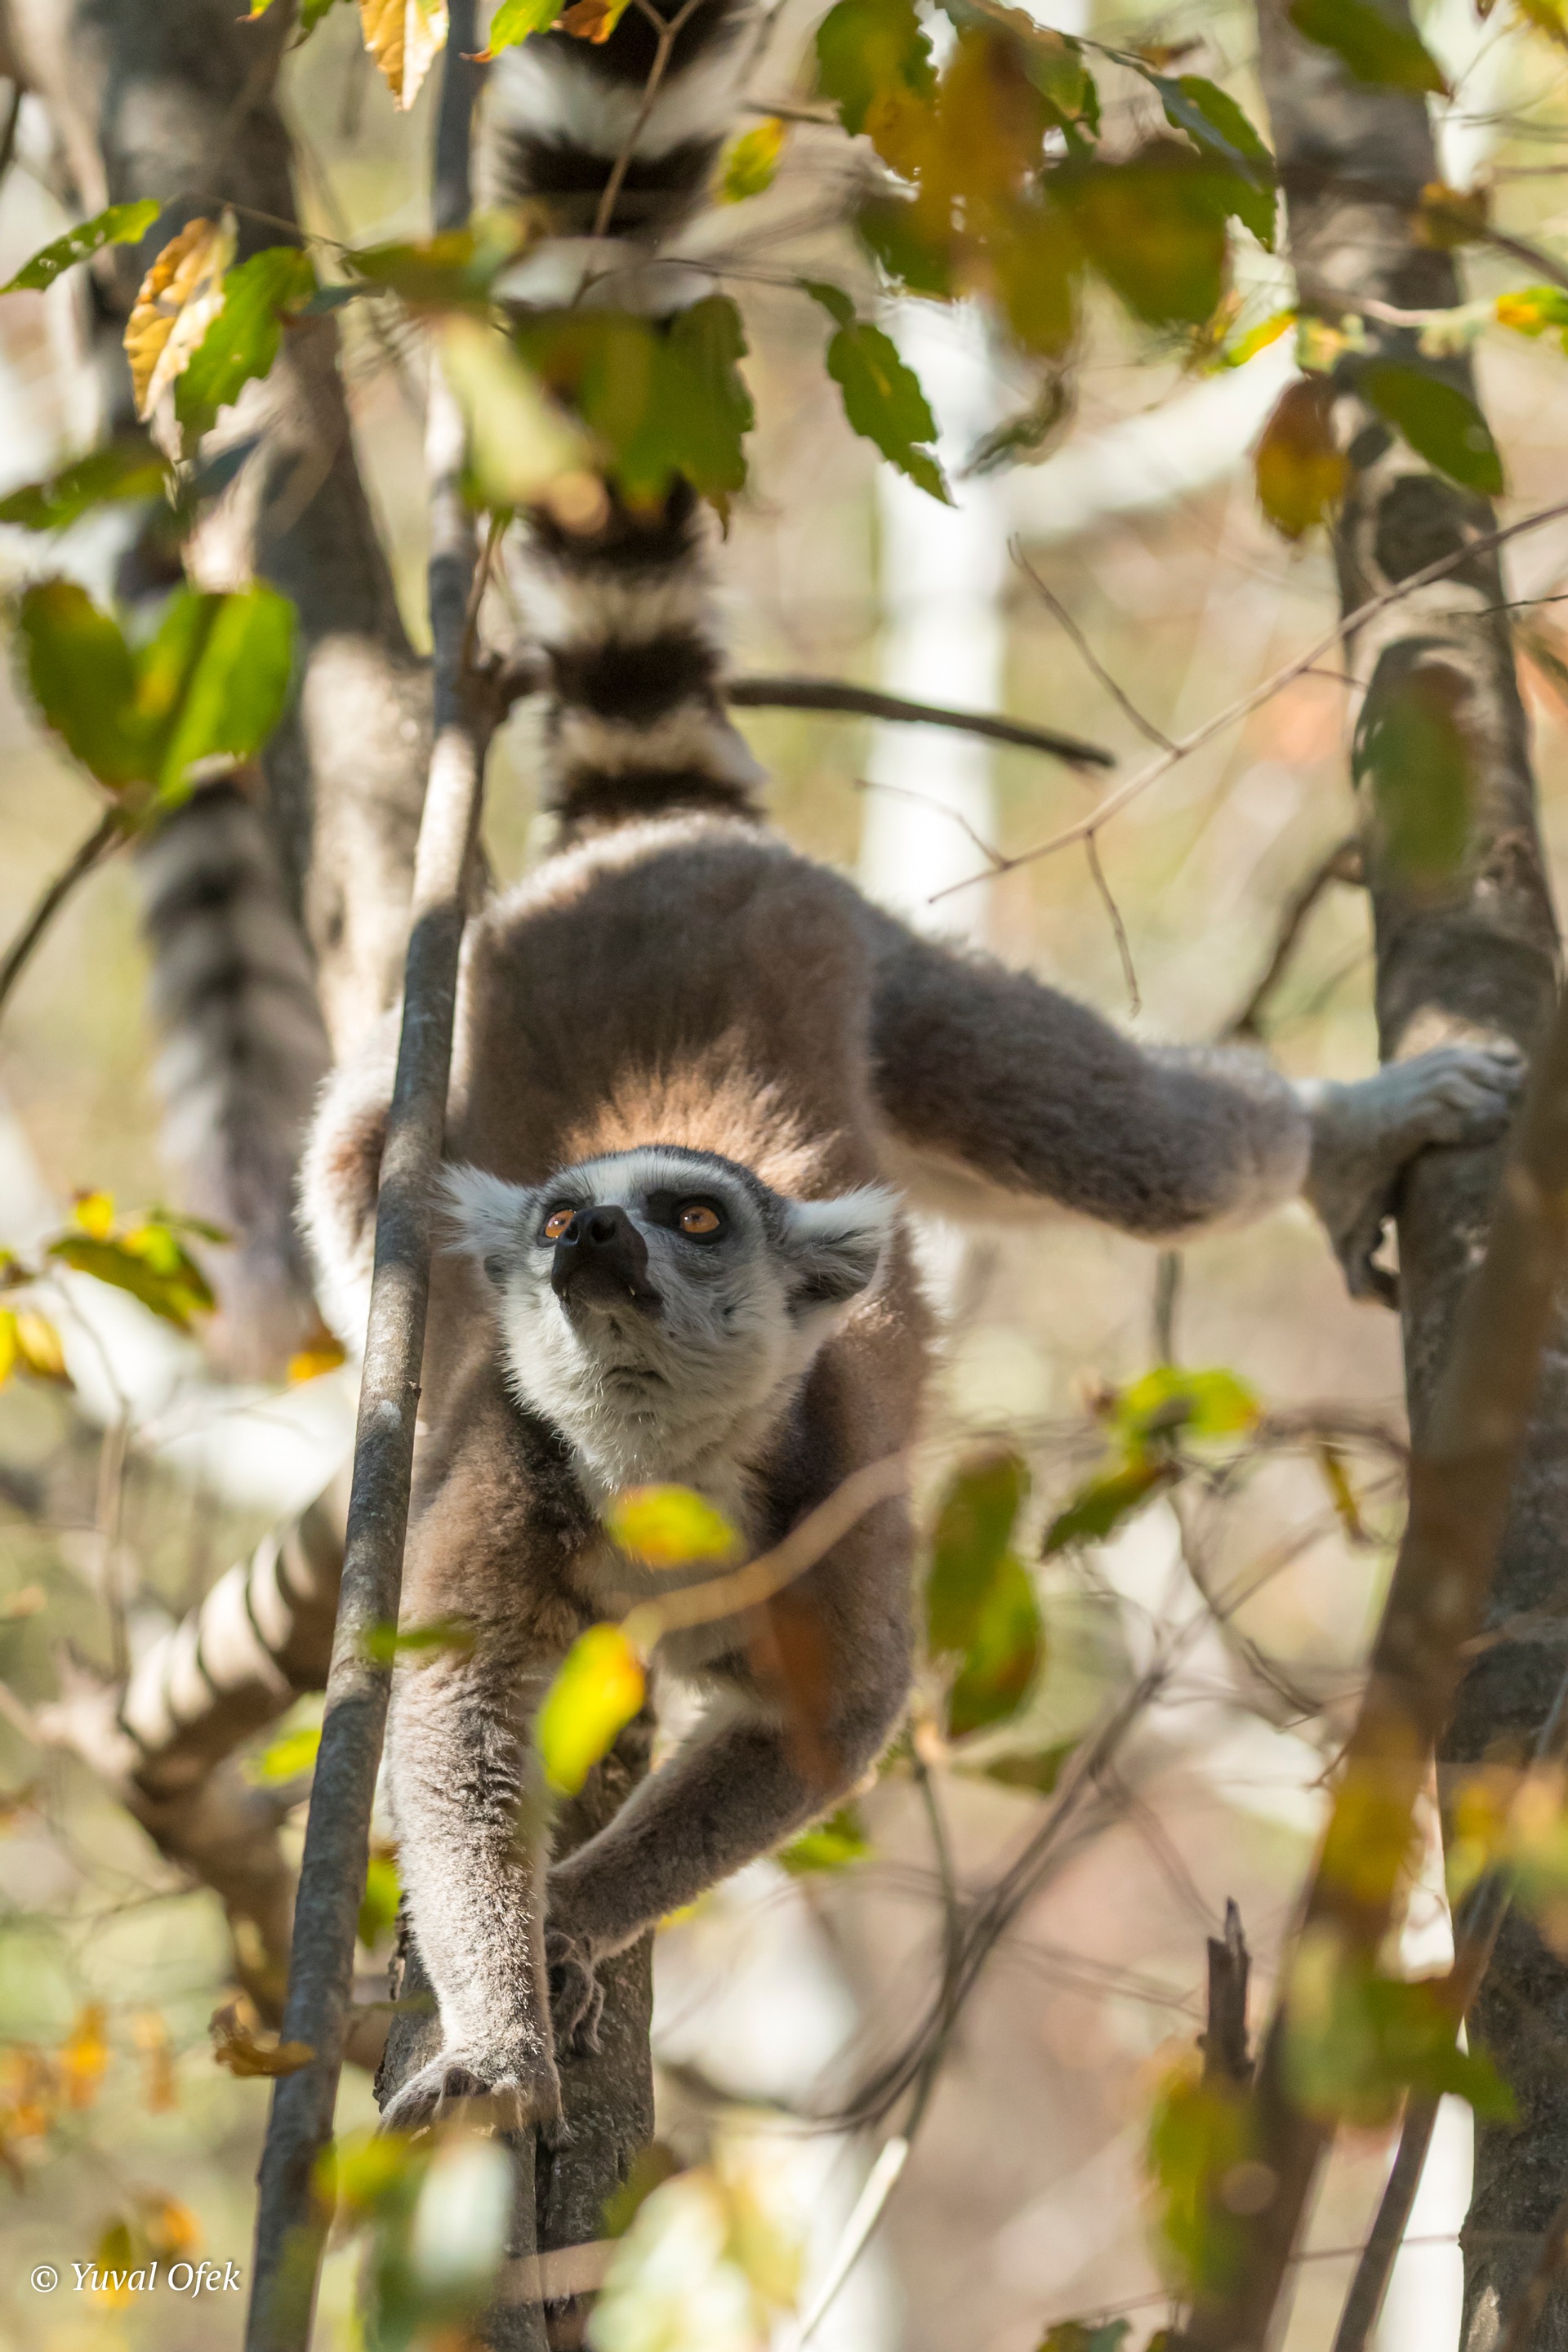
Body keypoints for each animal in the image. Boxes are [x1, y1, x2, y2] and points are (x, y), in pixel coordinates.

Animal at [299, 0, 1524, 2132]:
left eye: (695, 1219)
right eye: (565, 1219)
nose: (580, 1250)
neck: (657, 1479)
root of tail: (655, 846)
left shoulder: (830, 1505)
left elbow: (827, 1732)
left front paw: (569, 1927)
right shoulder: (499, 1478)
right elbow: (448, 1721)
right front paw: (495, 2012)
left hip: (887, 983)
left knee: (1126, 1145)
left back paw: (1345, 1133)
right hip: (444, 1076)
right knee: (347, 1166)